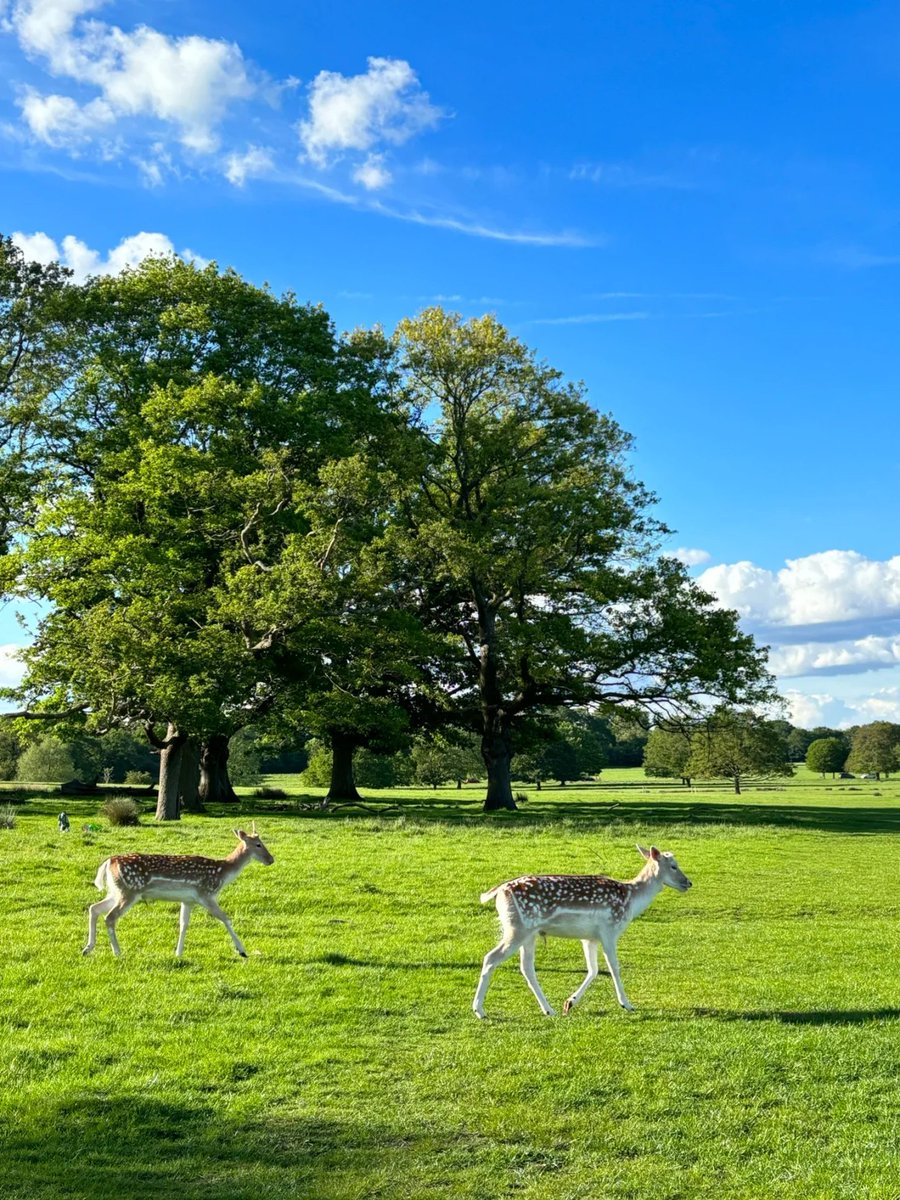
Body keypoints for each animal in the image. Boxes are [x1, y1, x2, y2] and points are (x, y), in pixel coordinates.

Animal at [82, 825, 274, 958]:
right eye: (259, 844)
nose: (271, 859)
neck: (222, 873)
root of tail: (109, 862)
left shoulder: (188, 900)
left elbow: (183, 924)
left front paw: (178, 953)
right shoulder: (206, 894)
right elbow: (225, 918)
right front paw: (242, 951)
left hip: (116, 891)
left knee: (94, 908)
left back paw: (87, 948)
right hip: (130, 891)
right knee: (110, 917)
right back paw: (117, 952)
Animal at [473, 845, 691, 1019]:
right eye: (674, 865)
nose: (688, 883)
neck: (631, 900)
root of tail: (498, 892)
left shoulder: (589, 938)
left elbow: (593, 969)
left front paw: (569, 1003)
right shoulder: (609, 930)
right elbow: (614, 967)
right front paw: (627, 1004)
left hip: (528, 933)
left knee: (526, 967)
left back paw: (548, 1009)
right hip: (517, 928)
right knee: (491, 958)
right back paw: (479, 1010)